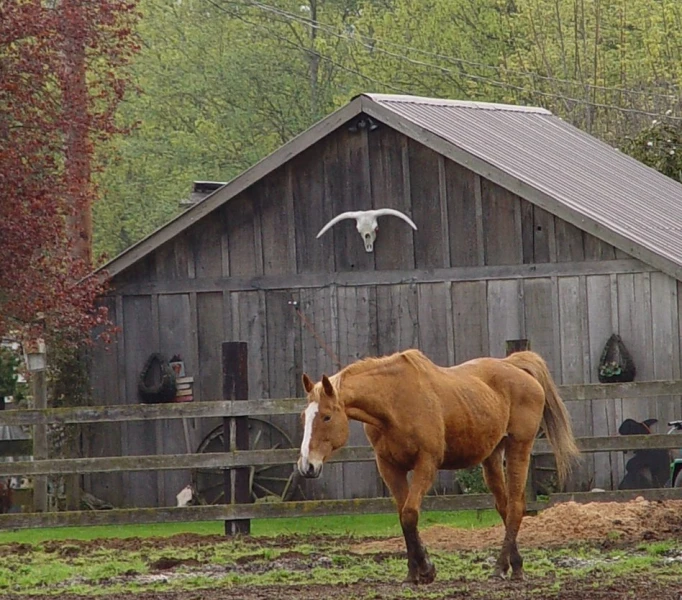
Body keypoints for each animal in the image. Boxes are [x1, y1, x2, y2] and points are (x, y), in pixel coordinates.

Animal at [294, 350, 576, 584]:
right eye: (304, 417)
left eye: (326, 416)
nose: (307, 465)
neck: (394, 402)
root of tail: (515, 365)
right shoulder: (389, 467)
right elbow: (403, 516)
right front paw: (414, 573)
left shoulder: (426, 464)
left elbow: (410, 514)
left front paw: (426, 570)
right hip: (492, 456)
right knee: (504, 508)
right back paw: (513, 565)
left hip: (520, 447)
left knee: (516, 507)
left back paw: (499, 568)